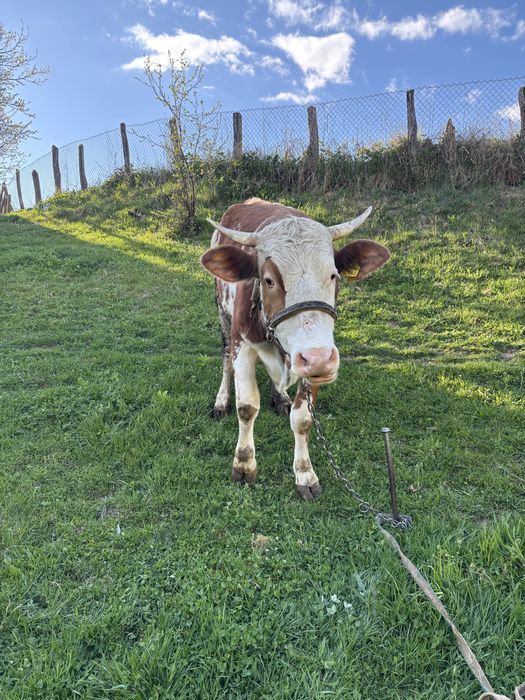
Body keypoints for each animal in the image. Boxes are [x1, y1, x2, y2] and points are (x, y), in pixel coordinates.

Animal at [201, 198, 390, 500]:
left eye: (334, 275)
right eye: (268, 280)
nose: (319, 360)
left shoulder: (311, 357)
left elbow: (302, 419)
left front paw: (305, 475)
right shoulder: (243, 344)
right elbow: (247, 407)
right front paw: (243, 465)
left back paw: (280, 398)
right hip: (222, 313)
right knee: (225, 358)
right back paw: (222, 400)